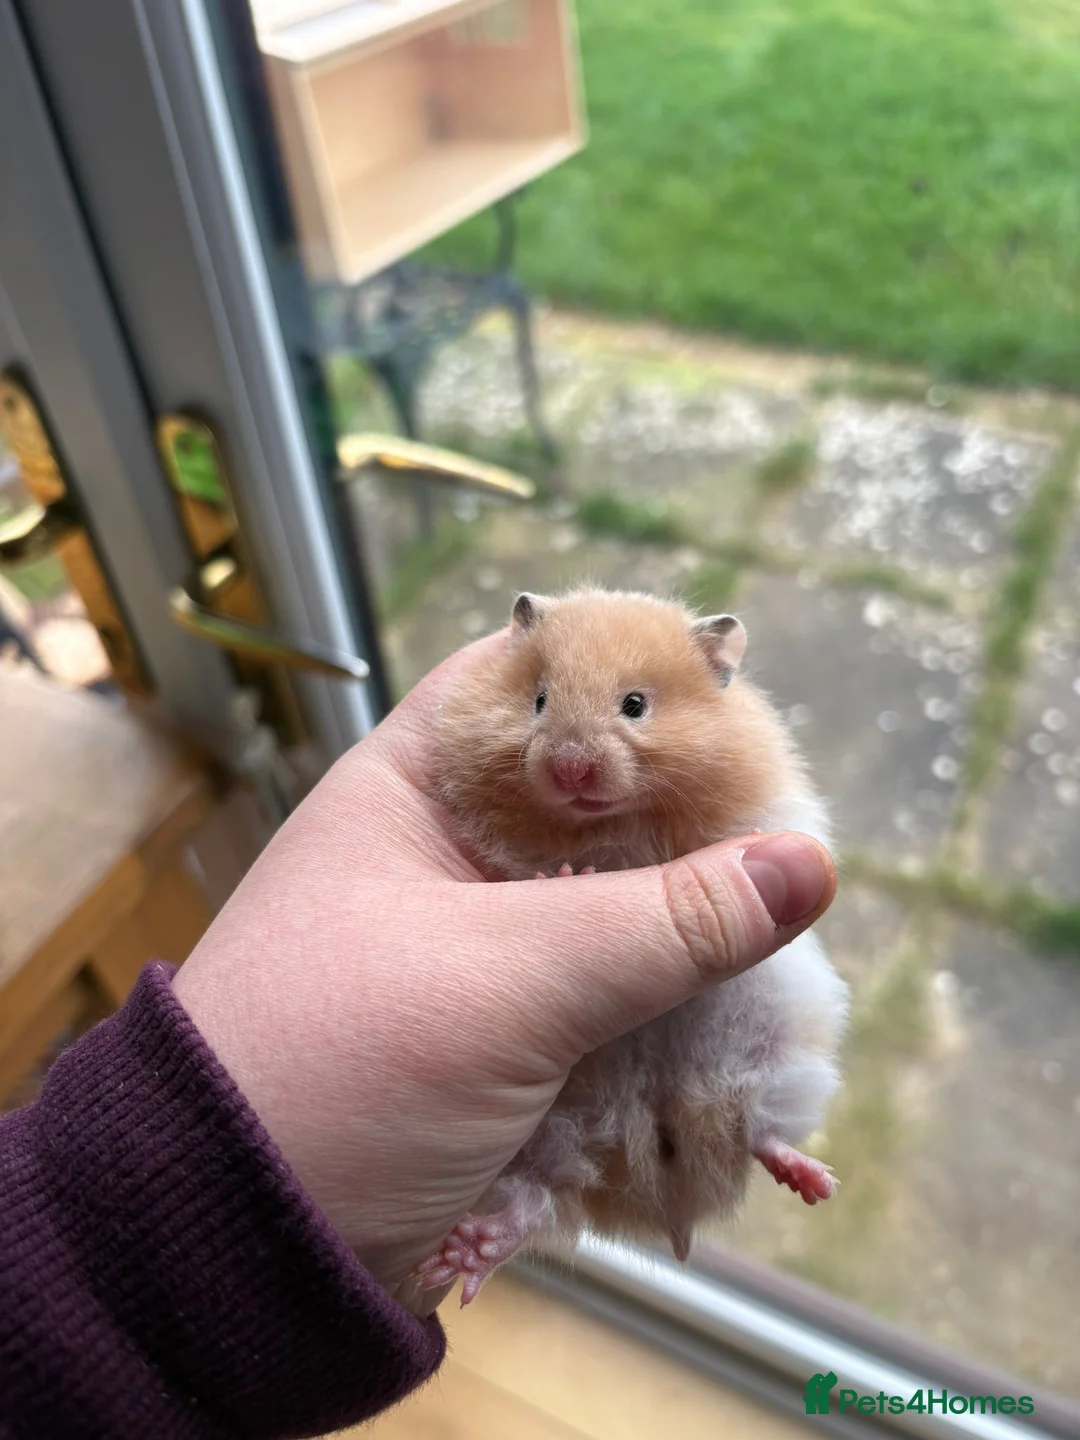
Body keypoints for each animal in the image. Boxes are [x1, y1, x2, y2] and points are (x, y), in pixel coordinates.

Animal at [415, 588, 849, 1304]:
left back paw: (814, 1183)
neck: (607, 822)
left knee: (763, 1133)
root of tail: (664, 1189)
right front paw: (568, 877)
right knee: (532, 1201)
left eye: (635, 705)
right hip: (536, 1143)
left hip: (779, 1055)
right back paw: (463, 1254)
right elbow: (532, 868)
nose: (570, 768)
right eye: (539, 700)